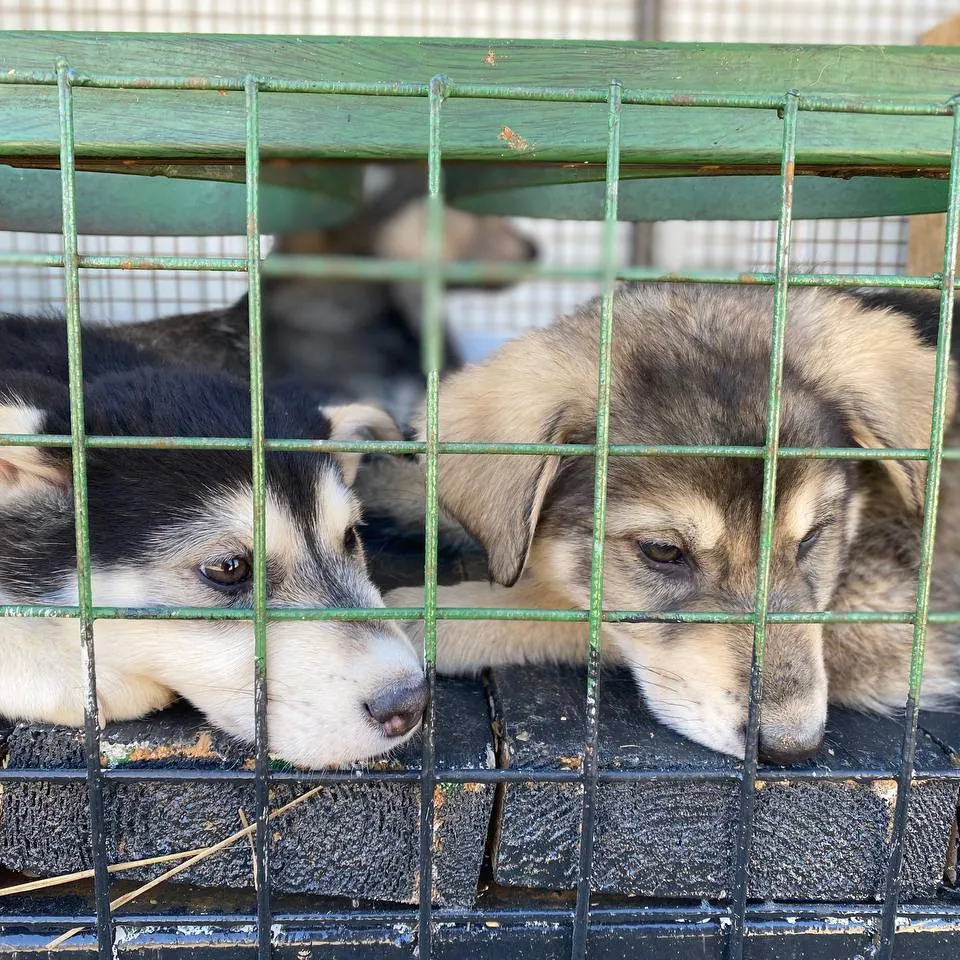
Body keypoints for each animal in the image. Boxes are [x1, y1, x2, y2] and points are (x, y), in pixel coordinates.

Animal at [388, 284, 960, 764]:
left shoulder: (887, 617)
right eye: (663, 551)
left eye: (814, 537)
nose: (792, 747)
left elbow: (566, 611)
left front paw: (429, 615)